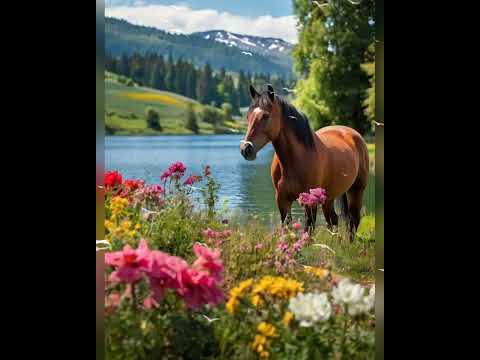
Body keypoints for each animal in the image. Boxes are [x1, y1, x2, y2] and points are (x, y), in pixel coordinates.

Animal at [242, 84, 370, 240]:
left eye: (265, 116)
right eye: (248, 116)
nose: (246, 149)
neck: (295, 160)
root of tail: (353, 134)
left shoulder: (310, 202)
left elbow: (308, 231)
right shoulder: (282, 200)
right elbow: (287, 228)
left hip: (356, 190)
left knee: (353, 220)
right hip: (328, 197)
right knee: (333, 220)